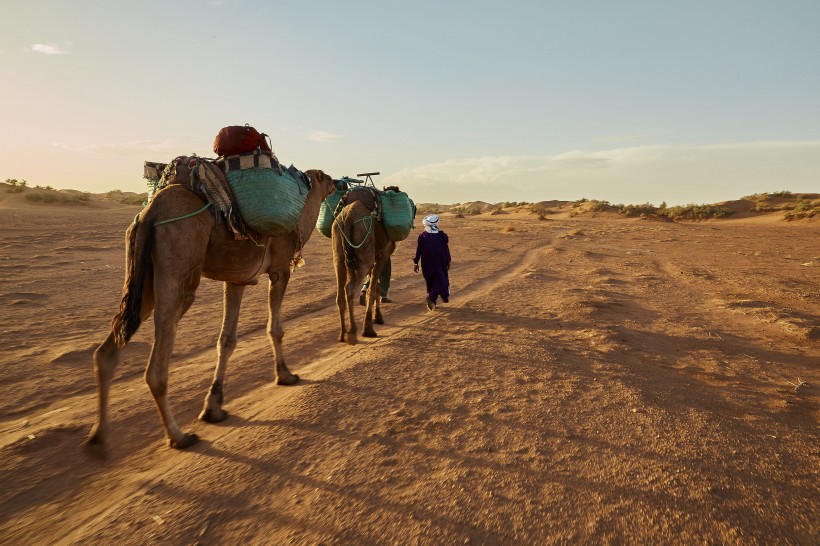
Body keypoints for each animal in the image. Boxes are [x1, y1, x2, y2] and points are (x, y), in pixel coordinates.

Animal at [86, 169, 334, 446]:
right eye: (327, 178)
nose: (338, 184)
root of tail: (151, 212)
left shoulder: (237, 279)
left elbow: (226, 340)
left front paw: (213, 406)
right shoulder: (280, 269)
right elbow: (275, 328)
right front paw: (285, 375)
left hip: (143, 278)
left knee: (107, 351)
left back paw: (98, 437)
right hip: (180, 260)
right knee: (156, 367)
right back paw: (178, 436)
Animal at [334, 200, 398, 344]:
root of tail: (348, 216)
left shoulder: (376, 257)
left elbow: (375, 287)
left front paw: (378, 317)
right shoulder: (382, 255)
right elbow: (373, 289)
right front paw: (369, 328)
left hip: (338, 253)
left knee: (340, 294)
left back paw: (342, 335)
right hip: (364, 248)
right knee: (350, 288)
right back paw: (352, 331)